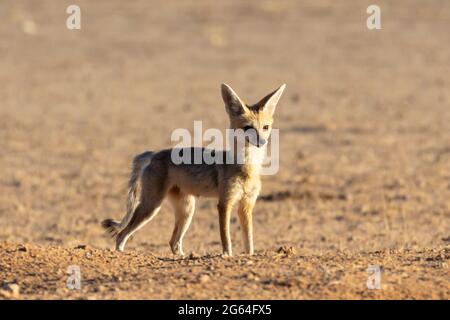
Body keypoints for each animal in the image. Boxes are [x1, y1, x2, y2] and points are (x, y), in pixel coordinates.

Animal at [101, 84, 284, 256]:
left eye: (265, 127)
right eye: (248, 128)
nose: (262, 142)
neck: (247, 167)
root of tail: (155, 153)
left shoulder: (247, 204)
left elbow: (249, 241)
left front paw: (249, 255)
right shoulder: (225, 203)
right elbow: (226, 237)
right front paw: (227, 255)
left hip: (187, 210)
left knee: (173, 242)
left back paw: (183, 257)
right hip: (151, 206)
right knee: (122, 234)